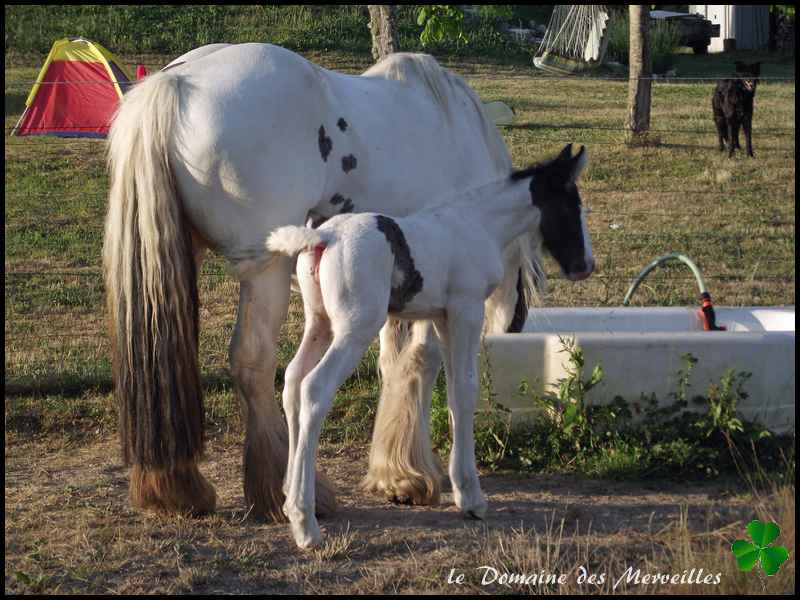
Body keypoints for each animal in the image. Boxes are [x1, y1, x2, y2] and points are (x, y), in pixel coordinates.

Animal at [103, 42, 540, 520]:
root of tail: (175, 83)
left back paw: (177, 489)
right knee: (253, 364)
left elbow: (393, 362)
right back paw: (281, 491)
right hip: (266, 273)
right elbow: (420, 362)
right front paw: (413, 475)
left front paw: (393, 473)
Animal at [268, 145, 592, 548]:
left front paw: (462, 490)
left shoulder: (441, 317)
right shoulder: (467, 309)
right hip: (355, 328)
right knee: (314, 388)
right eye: (571, 206)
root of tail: (325, 236)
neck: (478, 224)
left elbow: (452, 391)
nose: (586, 265)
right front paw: (471, 498)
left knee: (293, 382)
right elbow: (465, 390)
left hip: (320, 324)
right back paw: (305, 524)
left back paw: (288, 497)